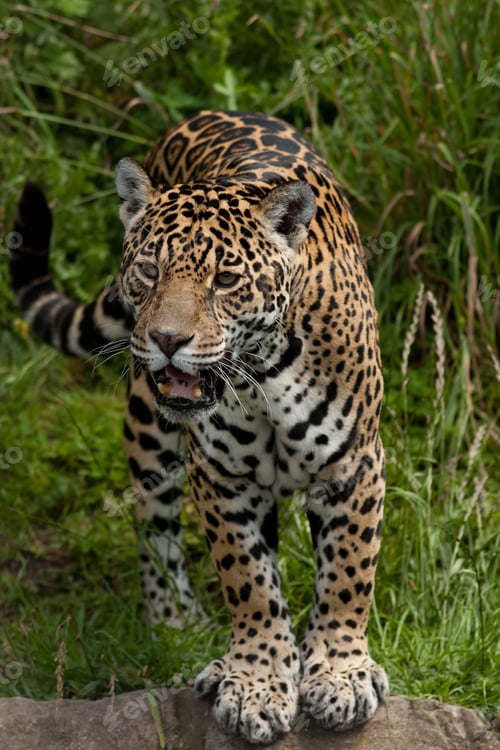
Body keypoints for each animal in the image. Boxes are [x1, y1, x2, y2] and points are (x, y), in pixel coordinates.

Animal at [9, 109, 388, 745]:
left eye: (226, 280)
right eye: (148, 270)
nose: (168, 339)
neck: (265, 373)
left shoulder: (353, 466)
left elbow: (348, 573)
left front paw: (339, 674)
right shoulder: (221, 476)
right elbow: (249, 580)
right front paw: (257, 681)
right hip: (147, 428)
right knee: (154, 528)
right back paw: (177, 624)